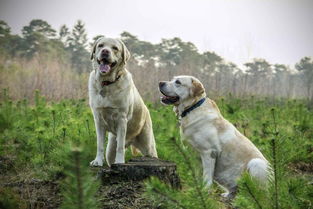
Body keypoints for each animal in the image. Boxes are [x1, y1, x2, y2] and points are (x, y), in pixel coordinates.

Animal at [88, 36, 157, 166]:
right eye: (101, 45)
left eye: (115, 48)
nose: (105, 51)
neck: (107, 83)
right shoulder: (98, 119)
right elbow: (99, 144)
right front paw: (97, 161)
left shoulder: (121, 119)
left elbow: (119, 147)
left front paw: (120, 162)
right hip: (110, 150)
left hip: (149, 147)